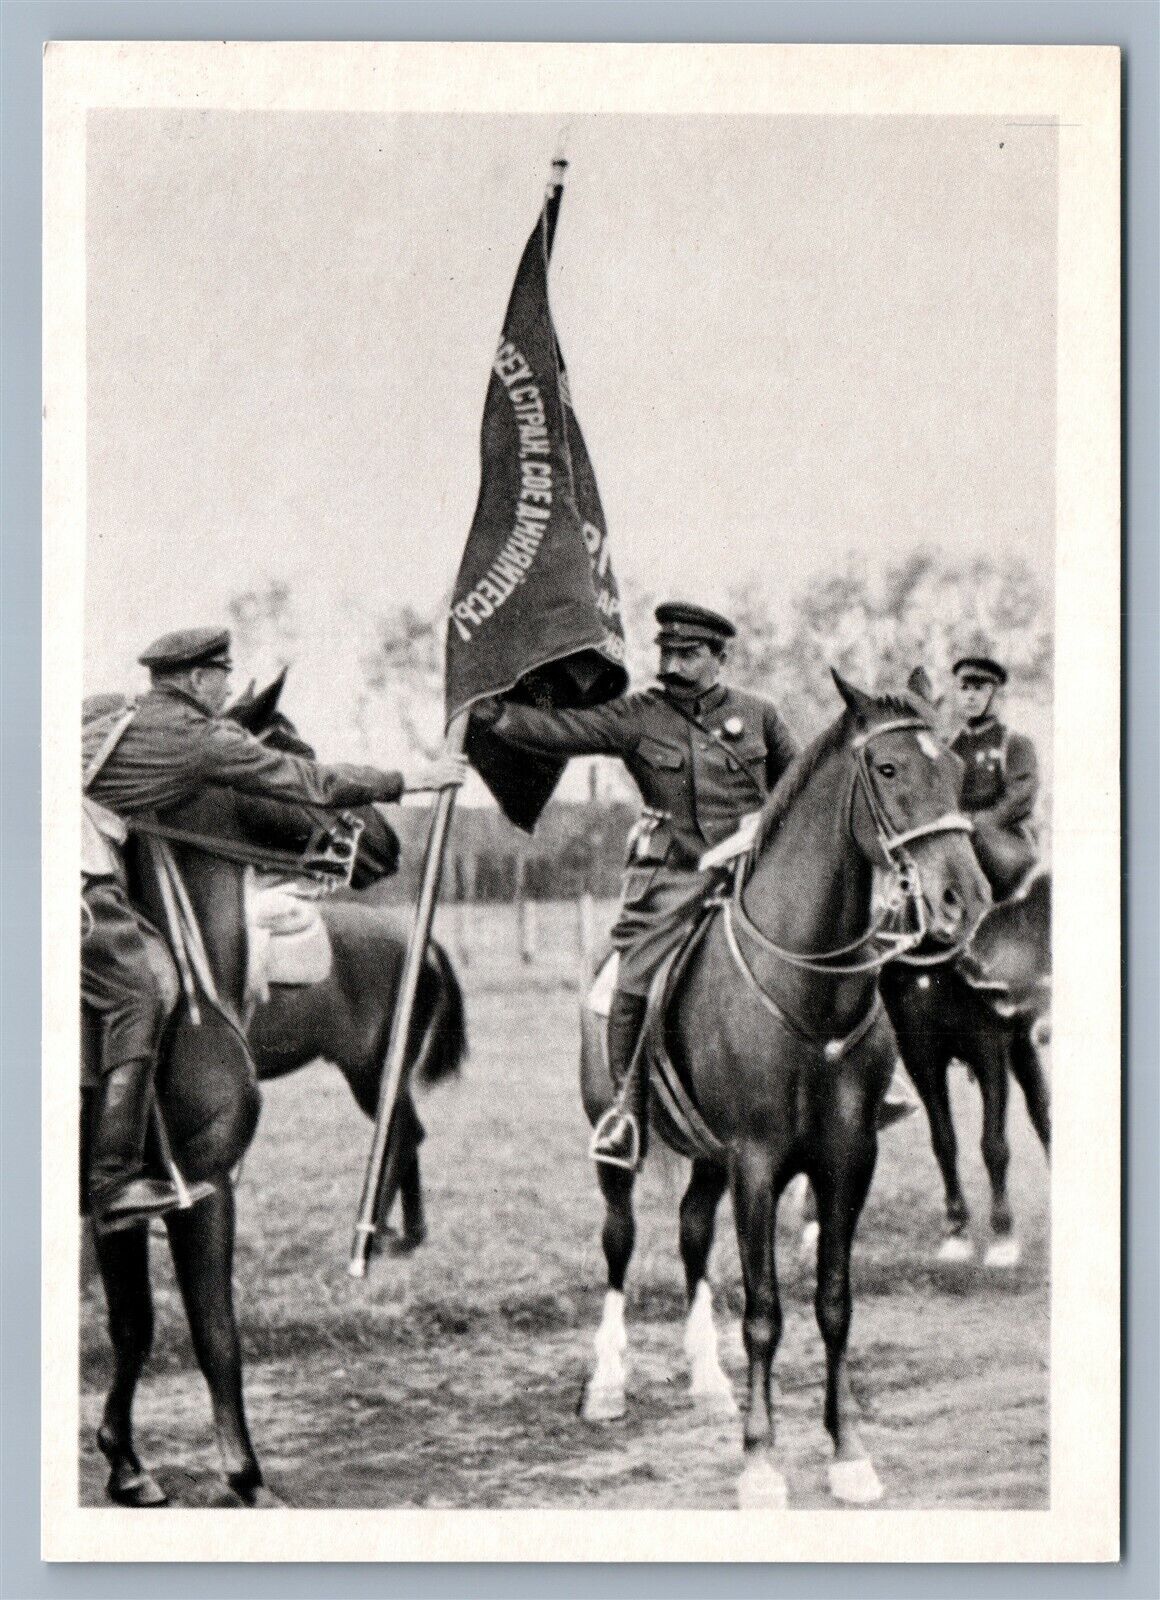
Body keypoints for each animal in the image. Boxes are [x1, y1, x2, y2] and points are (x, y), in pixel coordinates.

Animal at [576, 675, 979, 1510]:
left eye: (956, 767)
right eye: (888, 768)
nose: (966, 896)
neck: (806, 983)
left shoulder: (846, 1162)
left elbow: (835, 1303)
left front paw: (849, 1452)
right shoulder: (758, 1165)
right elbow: (764, 1313)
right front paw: (760, 1463)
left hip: (706, 1159)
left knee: (692, 1231)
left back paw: (706, 1381)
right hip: (618, 1151)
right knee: (620, 1242)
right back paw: (607, 1383)